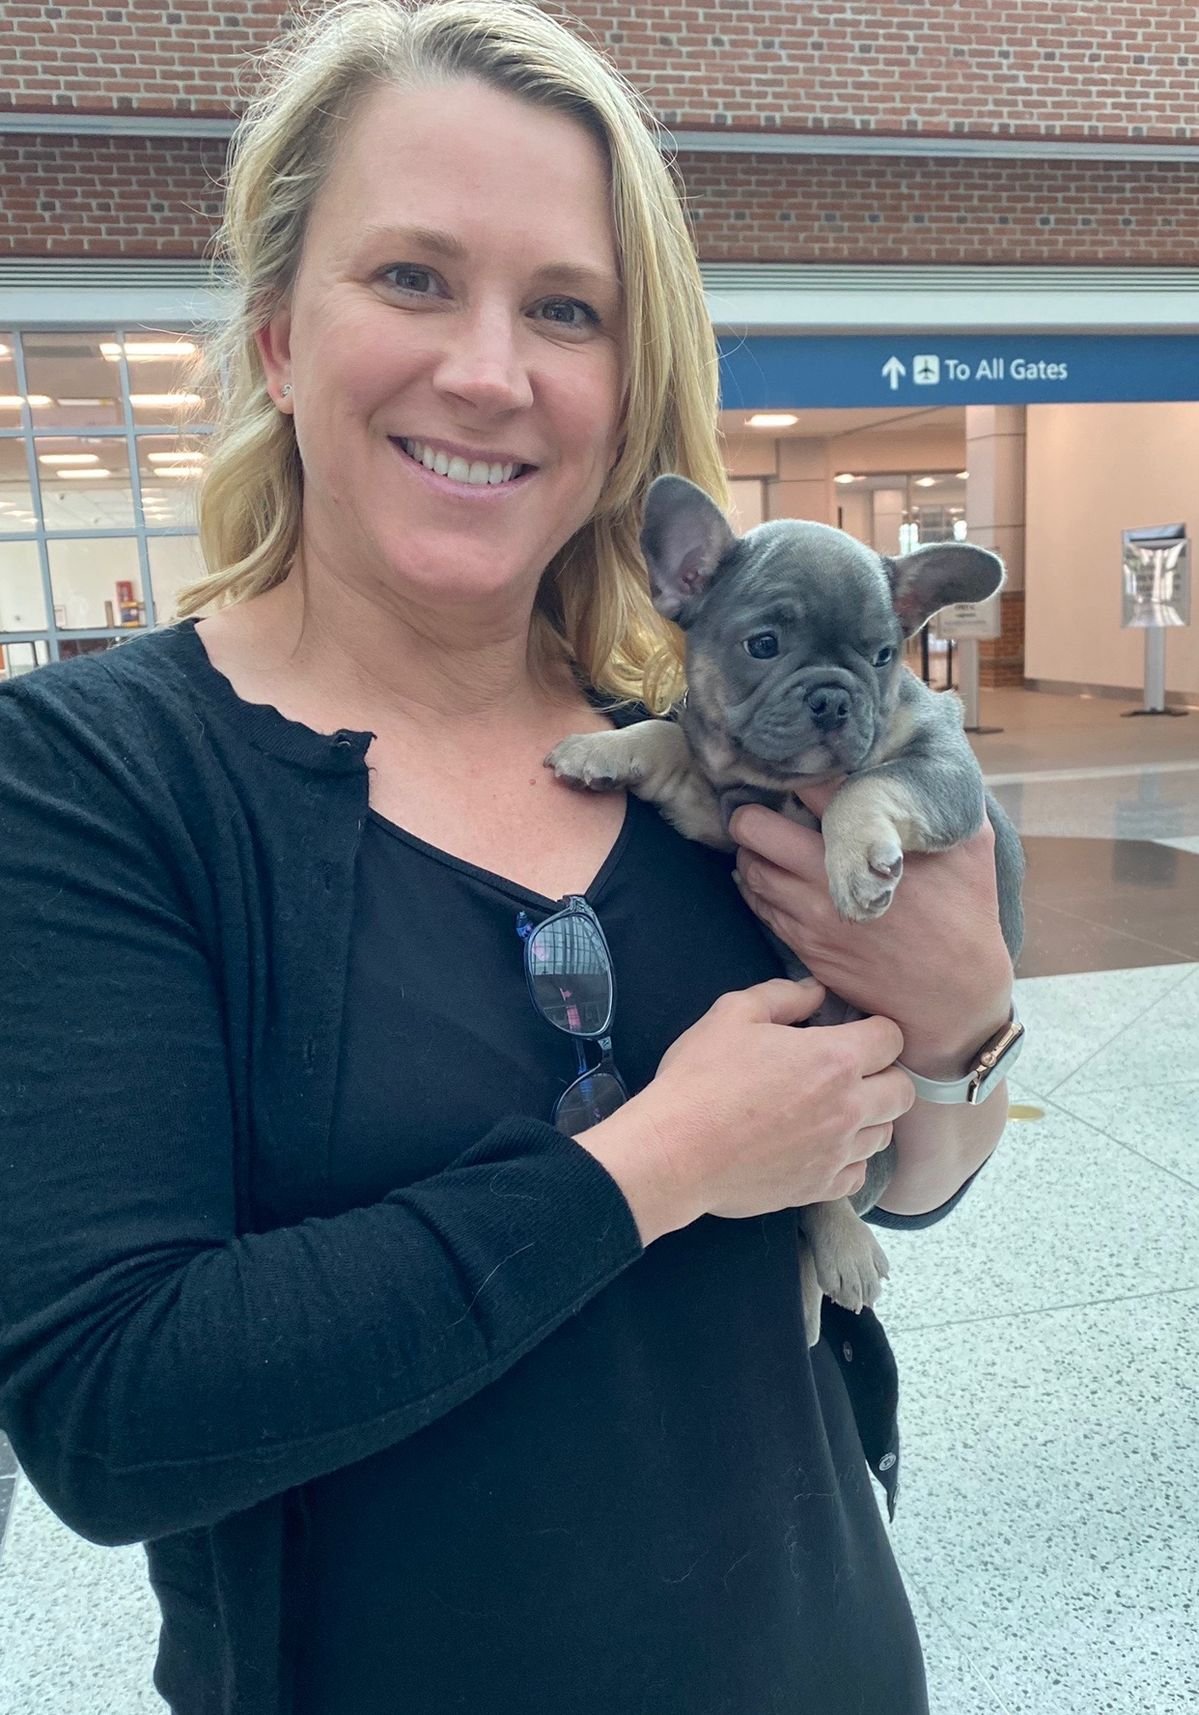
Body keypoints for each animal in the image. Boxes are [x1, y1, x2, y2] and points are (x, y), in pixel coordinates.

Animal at [546, 474, 1025, 1344]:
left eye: (882, 656)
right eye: (762, 645)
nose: (835, 697)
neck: (781, 787)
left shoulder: (944, 772)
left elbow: (874, 782)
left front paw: (855, 859)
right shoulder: (723, 808)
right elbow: (668, 742)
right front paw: (601, 749)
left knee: (827, 1195)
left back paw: (843, 1254)